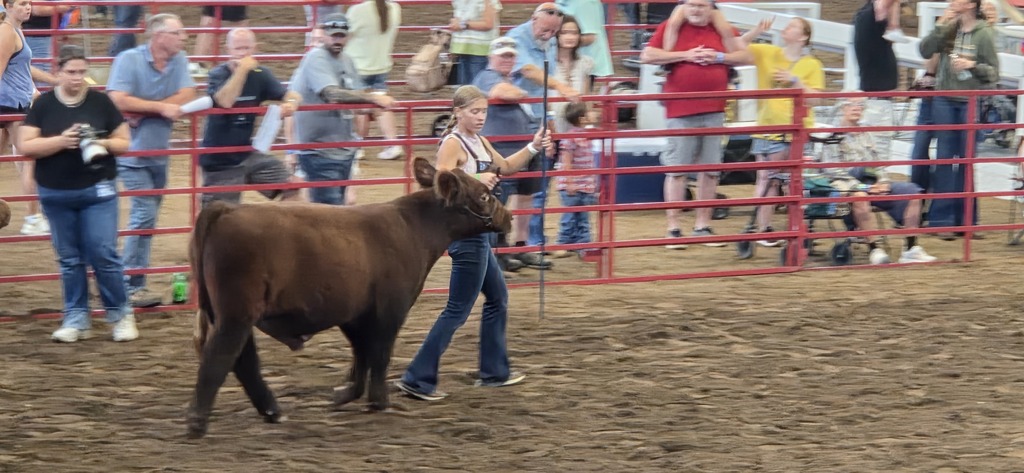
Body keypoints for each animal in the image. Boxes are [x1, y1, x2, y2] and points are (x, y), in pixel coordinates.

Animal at [186, 157, 512, 439]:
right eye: (484, 195)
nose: (508, 218)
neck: (413, 228)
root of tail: (226, 210)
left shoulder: (355, 313)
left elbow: (361, 354)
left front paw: (344, 395)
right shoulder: (390, 309)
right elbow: (379, 355)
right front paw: (379, 401)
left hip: (229, 313)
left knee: (244, 360)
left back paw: (272, 411)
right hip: (236, 314)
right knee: (221, 357)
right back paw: (198, 423)